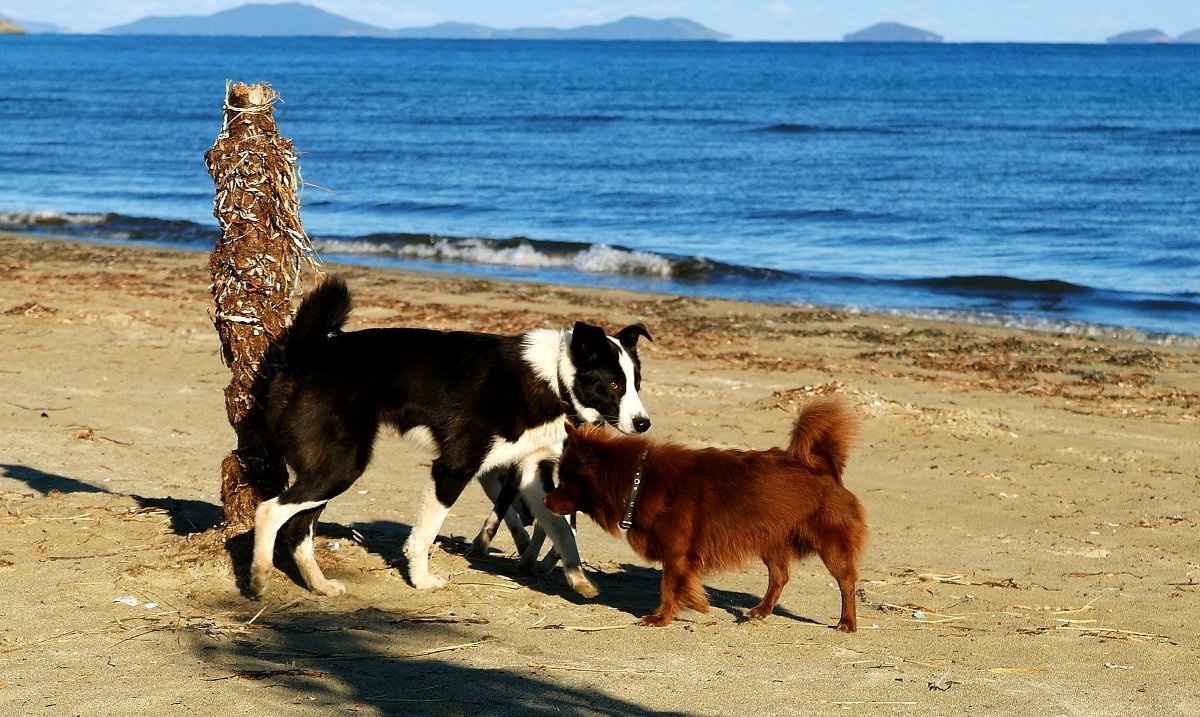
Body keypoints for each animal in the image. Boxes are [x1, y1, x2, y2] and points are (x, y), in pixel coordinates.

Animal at [247, 276, 652, 601]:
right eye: (613, 384)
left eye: (636, 382)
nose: (644, 423)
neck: (552, 377)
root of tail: (308, 354)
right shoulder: (453, 468)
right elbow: (423, 536)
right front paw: (421, 580)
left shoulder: (531, 474)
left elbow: (561, 530)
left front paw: (578, 579)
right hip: (342, 467)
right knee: (269, 510)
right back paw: (260, 577)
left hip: (331, 469)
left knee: (297, 530)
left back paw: (319, 585)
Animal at [542, 395, 864, 633]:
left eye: (565, 482)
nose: (544, 500)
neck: (637, 481)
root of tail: (823, 465)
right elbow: (679, 584)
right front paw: (694, 604)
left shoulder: (677, 554)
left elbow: (668, 586)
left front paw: (661, 618)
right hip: (770, 539)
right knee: (779, 577)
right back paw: (761, 610)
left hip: (829, 544)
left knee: (846, 582)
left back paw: (846, 622)